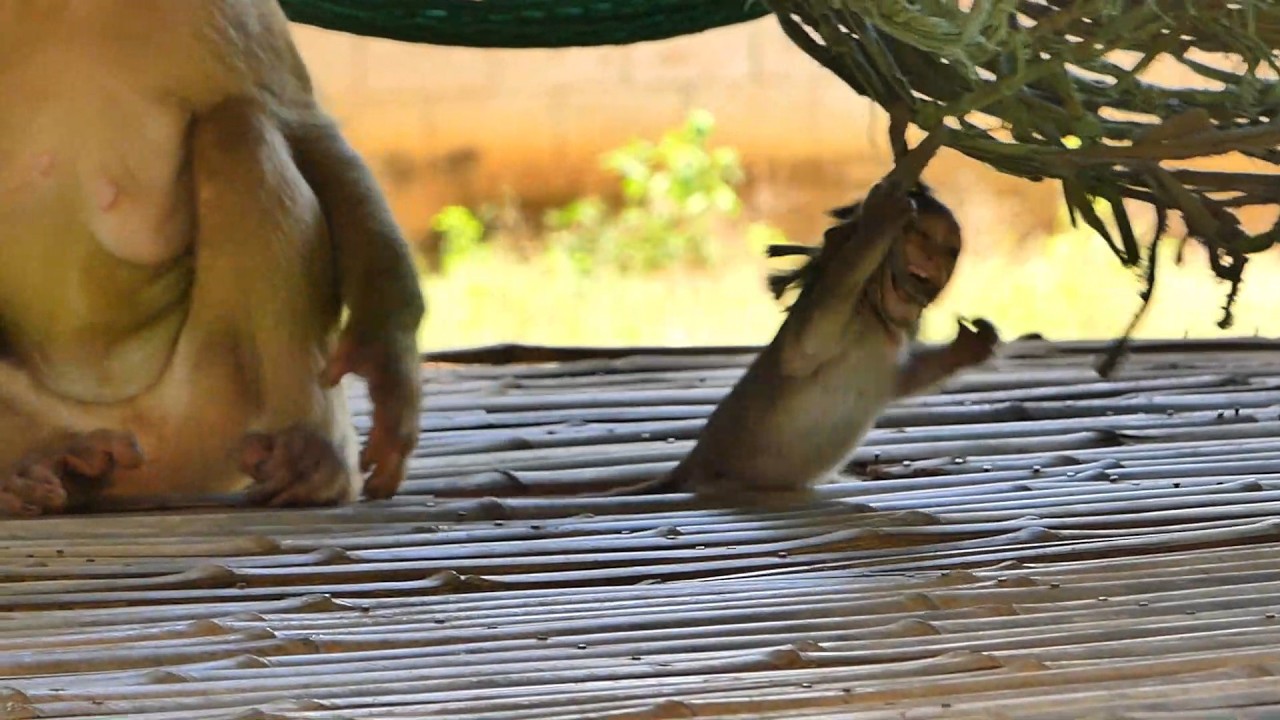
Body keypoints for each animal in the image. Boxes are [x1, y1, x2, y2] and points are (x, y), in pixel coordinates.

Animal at [0, 0, 424, 516]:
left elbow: (306, 131)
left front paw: (387, 352)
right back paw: (35, 468)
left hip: (216, 405)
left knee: (238, 132)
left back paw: (313, 459)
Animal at [610, 179, 1000, 507]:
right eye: (920, 234)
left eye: (949, 249)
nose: (933, 258)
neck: (878, 319)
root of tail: (692, 464)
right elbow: (806, 346)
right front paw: (878, 222)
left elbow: (900, 380)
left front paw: (972, 344)